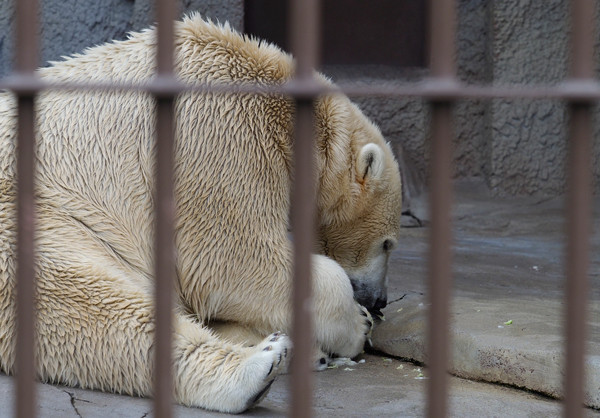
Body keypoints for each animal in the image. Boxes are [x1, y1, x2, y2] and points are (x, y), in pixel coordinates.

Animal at [1, 13, 404, 414]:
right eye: (387, 243)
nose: (380, 301)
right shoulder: (218, 132)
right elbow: (231, 260)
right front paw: (358, 324)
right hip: (38, 218)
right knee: (82, 301)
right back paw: (259, 366)